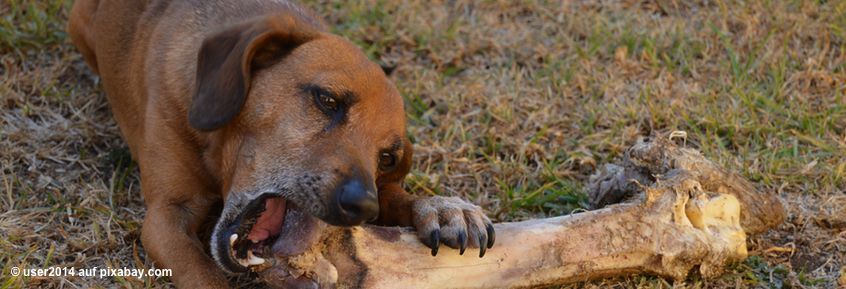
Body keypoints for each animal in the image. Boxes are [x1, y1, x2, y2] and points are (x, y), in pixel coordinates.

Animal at [71, 0, 496, 286]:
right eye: (328, 100)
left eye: (388, 158)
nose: (363, 207)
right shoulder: (165, 216)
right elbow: (203, 273)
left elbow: (399, 197)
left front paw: (443, 208)